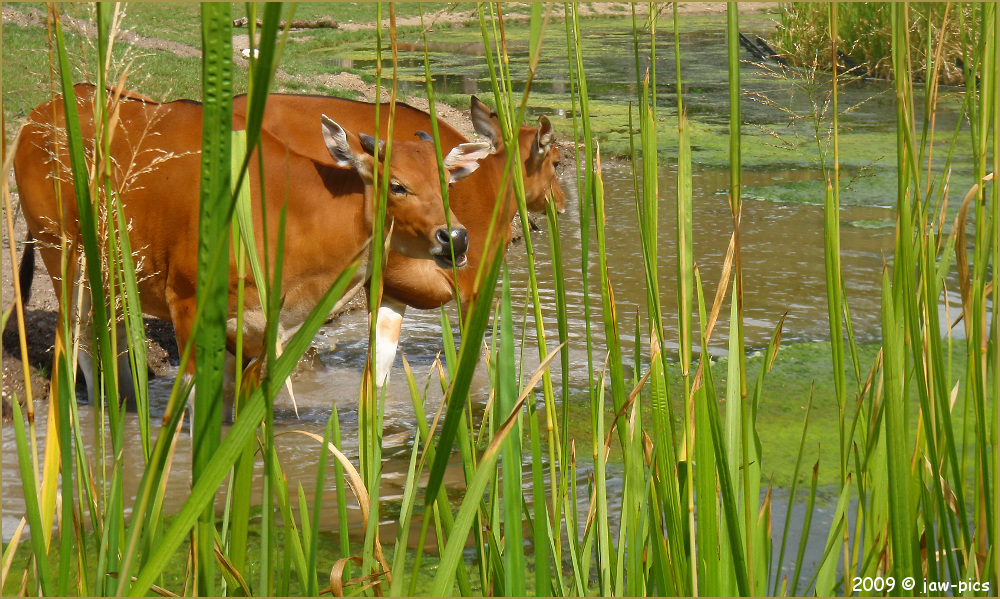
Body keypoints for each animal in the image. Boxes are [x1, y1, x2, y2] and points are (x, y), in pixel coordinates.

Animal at [11, 83, 488, 404]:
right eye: (397, 185)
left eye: (447, 184)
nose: (456, 237)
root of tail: (39, 114)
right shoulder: (187, 306)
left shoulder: (260, 334)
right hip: (62, 257)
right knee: (81, 344)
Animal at [229, 94, 568, 384]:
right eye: (557, 161)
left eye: (448, 182)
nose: (561, 203)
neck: (493, 184)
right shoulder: (471, 289)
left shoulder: (393, 291)